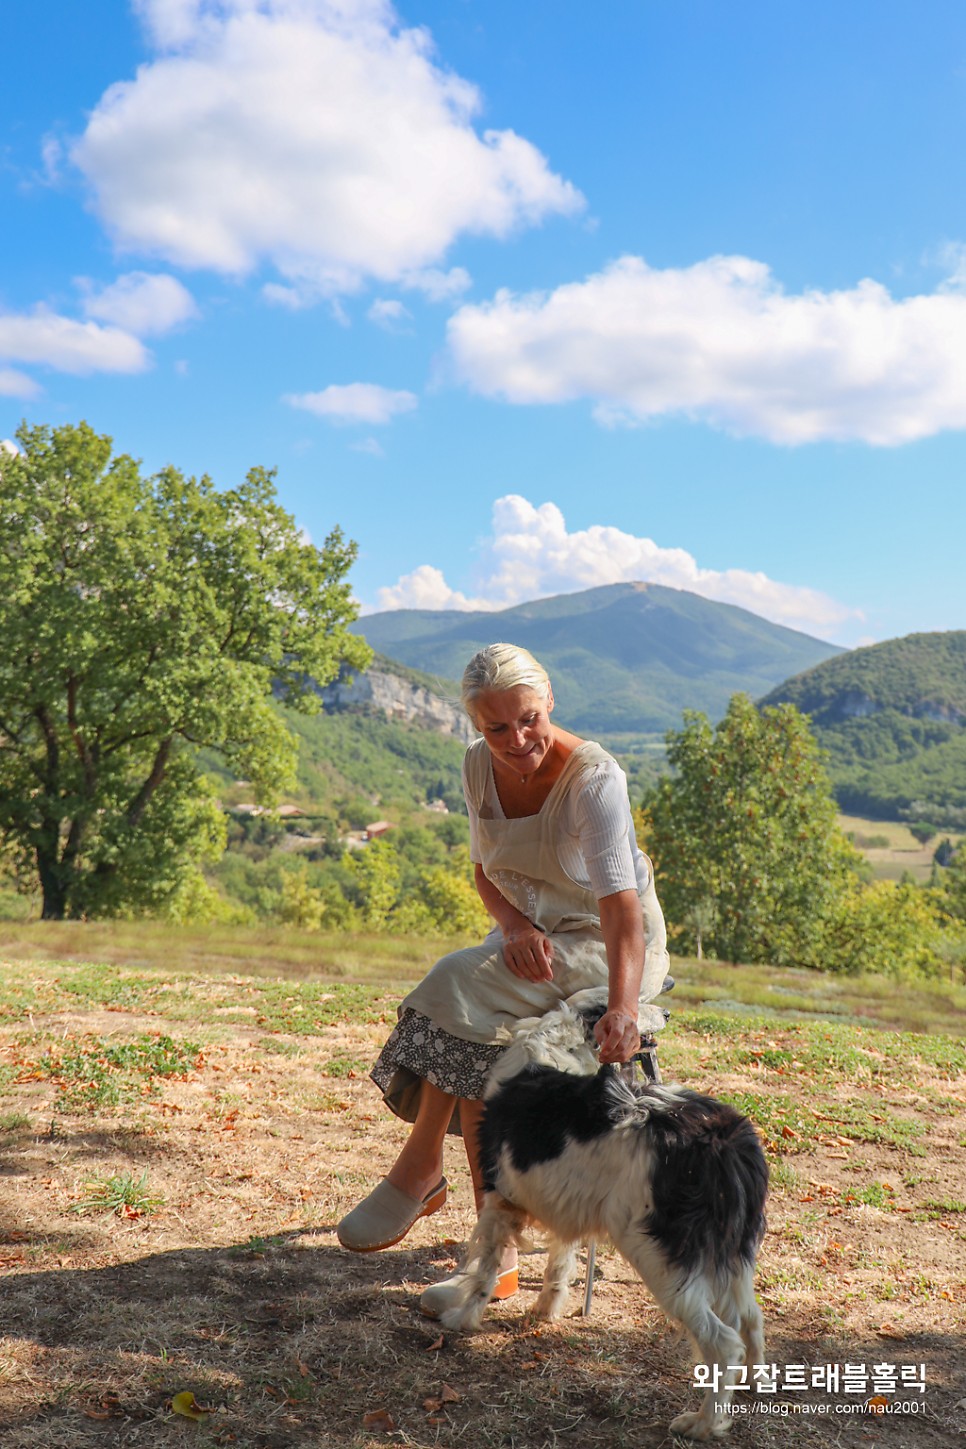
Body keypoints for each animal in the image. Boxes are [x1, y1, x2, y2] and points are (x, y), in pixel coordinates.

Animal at [440, 985, 770, 1437]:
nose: (667, 1012)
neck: (558, 1042)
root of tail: (725, 1136)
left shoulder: (498, 1200)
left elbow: (485, 1272)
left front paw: (462, 1319)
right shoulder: (561, 1196)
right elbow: (559, 1264)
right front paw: (545, 1311)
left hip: (658, 1258)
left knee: (723, 1342)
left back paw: (704, 1423)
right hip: (734, 1255)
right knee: (751, 1320)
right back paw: (755, 1386)